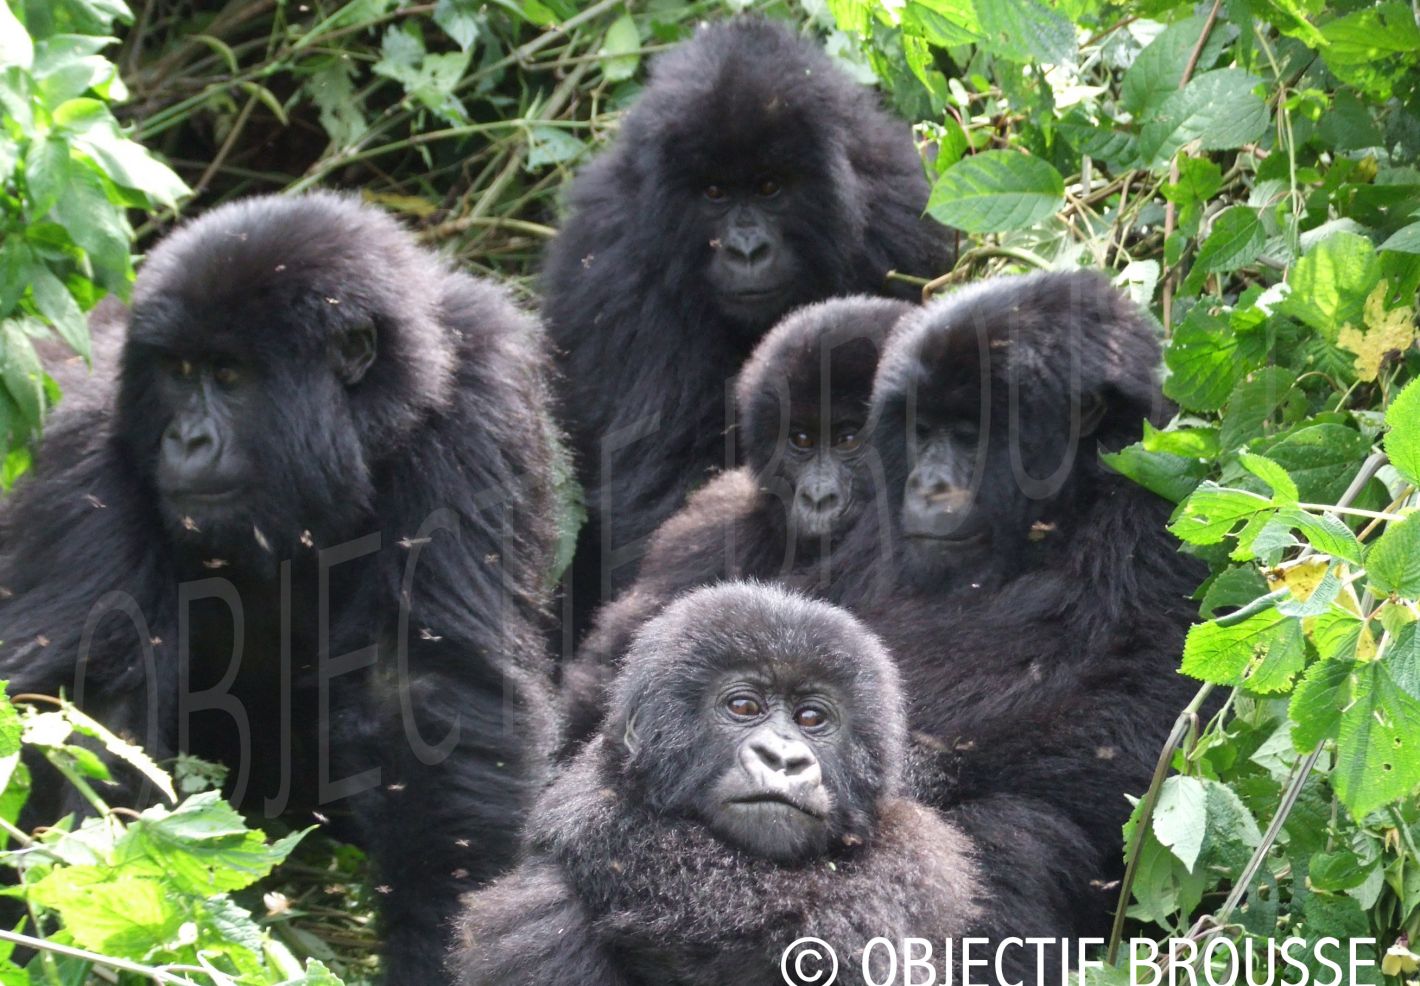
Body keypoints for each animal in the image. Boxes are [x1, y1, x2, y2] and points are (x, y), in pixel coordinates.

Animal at [1, 193, 565, 986]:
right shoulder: (89, 426)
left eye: (229, 375)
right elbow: (82, 714)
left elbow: (425, 689)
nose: (186, 440)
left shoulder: (482, 395)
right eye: (179, 371)